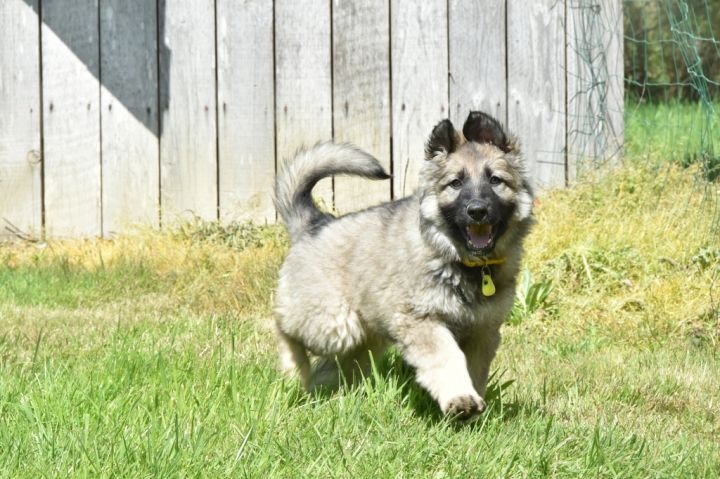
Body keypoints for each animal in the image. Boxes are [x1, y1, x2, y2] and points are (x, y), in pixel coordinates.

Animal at [273, 111, 534, 418]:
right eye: (456, 184)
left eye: (495, 180)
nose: (477, 211)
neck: (463, 262)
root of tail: (314, 223)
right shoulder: (422, 321)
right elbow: (447, 358)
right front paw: (460, 398)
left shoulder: (483, 333)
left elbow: (474, 370)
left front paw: (472, 407)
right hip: (333, 324)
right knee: (284, 327)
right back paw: (294, 371)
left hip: (362, 339)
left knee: (332, 368)